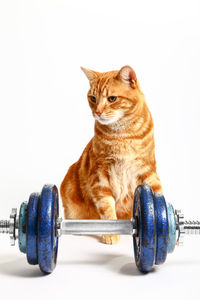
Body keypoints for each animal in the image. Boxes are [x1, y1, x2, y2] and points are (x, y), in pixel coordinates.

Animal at [60, 65, 162, 244]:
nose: (98, 112)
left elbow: (159, 194)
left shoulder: (147, 169)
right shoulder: (99, 174)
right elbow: (106, 206)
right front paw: (111, 232)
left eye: (112, 99)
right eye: (93, 98)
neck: (123, 134)